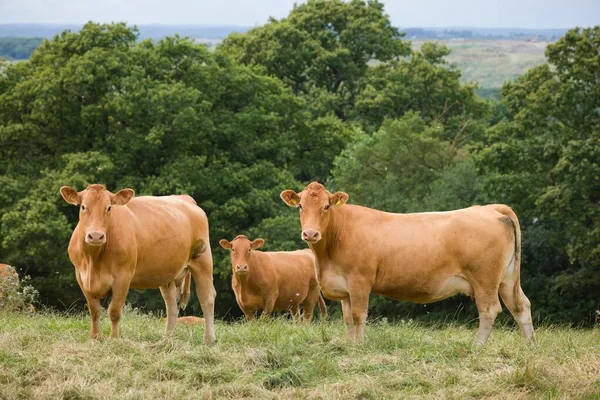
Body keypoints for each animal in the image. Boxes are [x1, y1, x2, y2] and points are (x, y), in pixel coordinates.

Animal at [58, 184, 217, 344]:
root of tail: (186, 198)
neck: (94, 261)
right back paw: (166, 340)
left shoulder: (123, 278)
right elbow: (94, 311)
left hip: (203, 260)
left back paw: (209, 340)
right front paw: (95, 338)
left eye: (109, 208)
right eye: (83, 207)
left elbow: (114, 311)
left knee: (207, 298)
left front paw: (114, 339)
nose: (96, 236)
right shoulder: (81, 277)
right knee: (171, 304)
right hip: (167, 273)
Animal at [282, 183, 536, 346]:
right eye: (301, 206)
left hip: (485, 279)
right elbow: (347, 319)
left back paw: (477, 347)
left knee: (489, 310)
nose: (311, 233)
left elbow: (358, 315)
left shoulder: (360, 281)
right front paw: (349, 343)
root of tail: (490, 208)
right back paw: (530, 346)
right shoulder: (344, 287)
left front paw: (360, 345)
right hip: (507, 278)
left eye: (326, 206)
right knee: (521, 306)